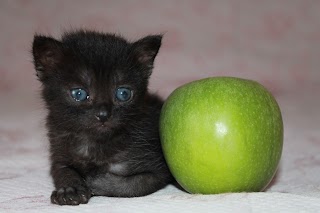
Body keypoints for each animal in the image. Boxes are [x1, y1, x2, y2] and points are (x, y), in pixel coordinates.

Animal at [31, 29, 172, 205]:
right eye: (79, 94)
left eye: (123, 93)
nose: (103, 114)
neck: (93, 143)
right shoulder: (59, 152)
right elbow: (63, 171)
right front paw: (70, 189)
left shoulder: (157, 170)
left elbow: (130, 185)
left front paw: (93, 181)